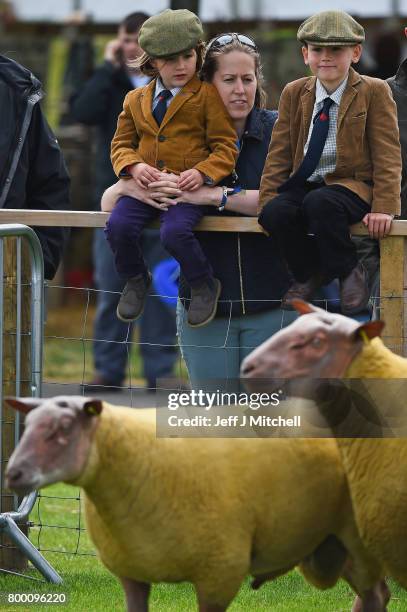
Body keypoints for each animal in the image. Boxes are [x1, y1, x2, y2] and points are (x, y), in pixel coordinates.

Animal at [3, 394, 386, 608]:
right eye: (29, 425)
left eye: (63, 429)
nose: (13, 474)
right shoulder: (132, 571)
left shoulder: (219, 571)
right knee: (376, 594)